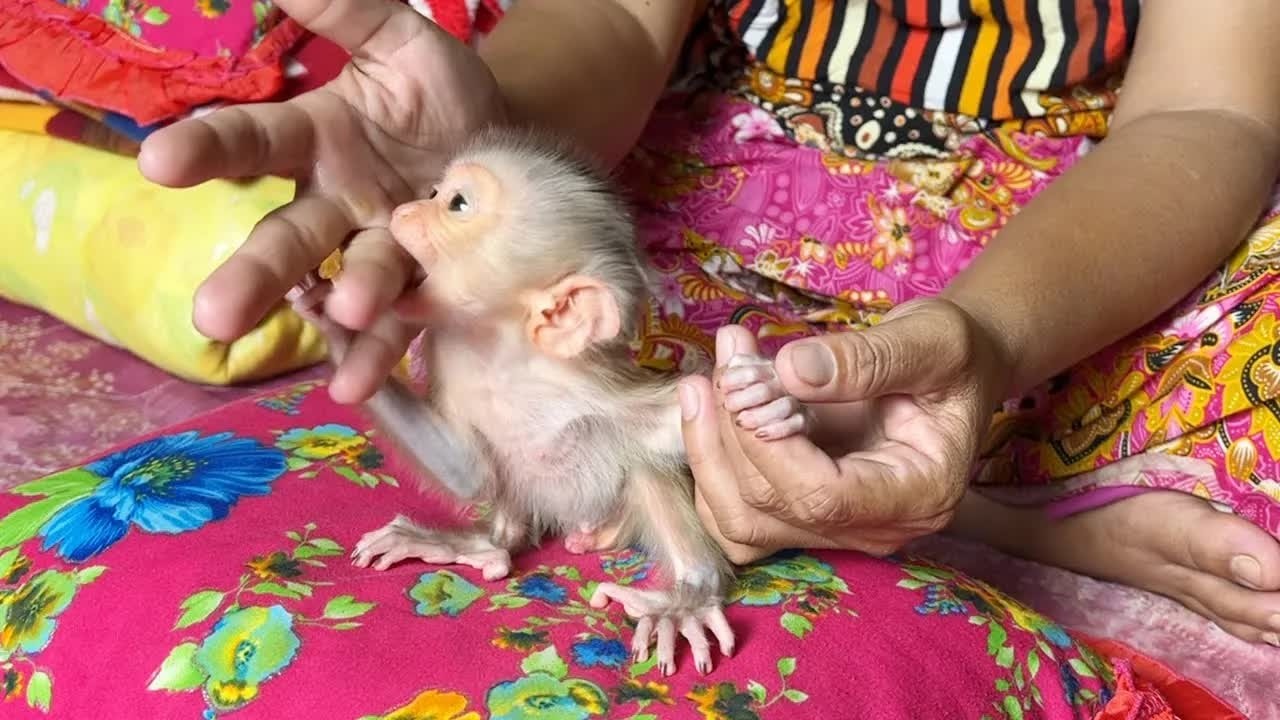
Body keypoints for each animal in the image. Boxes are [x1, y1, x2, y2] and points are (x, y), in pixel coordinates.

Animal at [287, 127, 812, 676]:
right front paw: (328, 319)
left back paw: (687, 596)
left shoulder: (588, 389)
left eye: (456, 204)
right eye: (434, 192)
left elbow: (670, 427)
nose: (407, 207)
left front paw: (764, 394)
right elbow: (468, 473)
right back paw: (483, 545)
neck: (502, 360)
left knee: (645, 466)